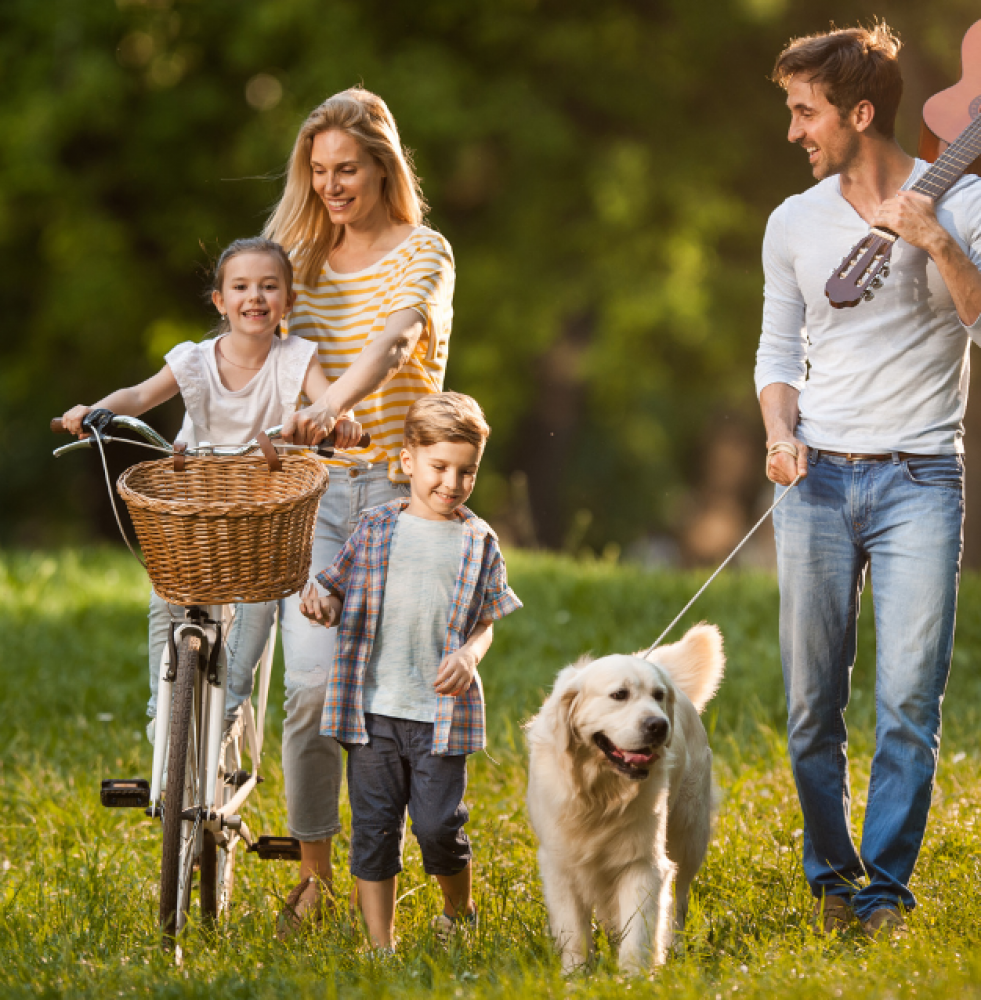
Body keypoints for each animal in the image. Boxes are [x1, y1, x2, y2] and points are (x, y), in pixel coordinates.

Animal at [524, 620, 724, 972]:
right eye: (619, 695)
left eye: (658, 696)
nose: (659, 725)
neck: (600, 794)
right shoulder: (559, 863)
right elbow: (573, 930)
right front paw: (575, 974)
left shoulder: (642, 861)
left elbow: (640, 927)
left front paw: (634, 975)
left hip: (688, 836)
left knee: (678, 900)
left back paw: (675, 947)